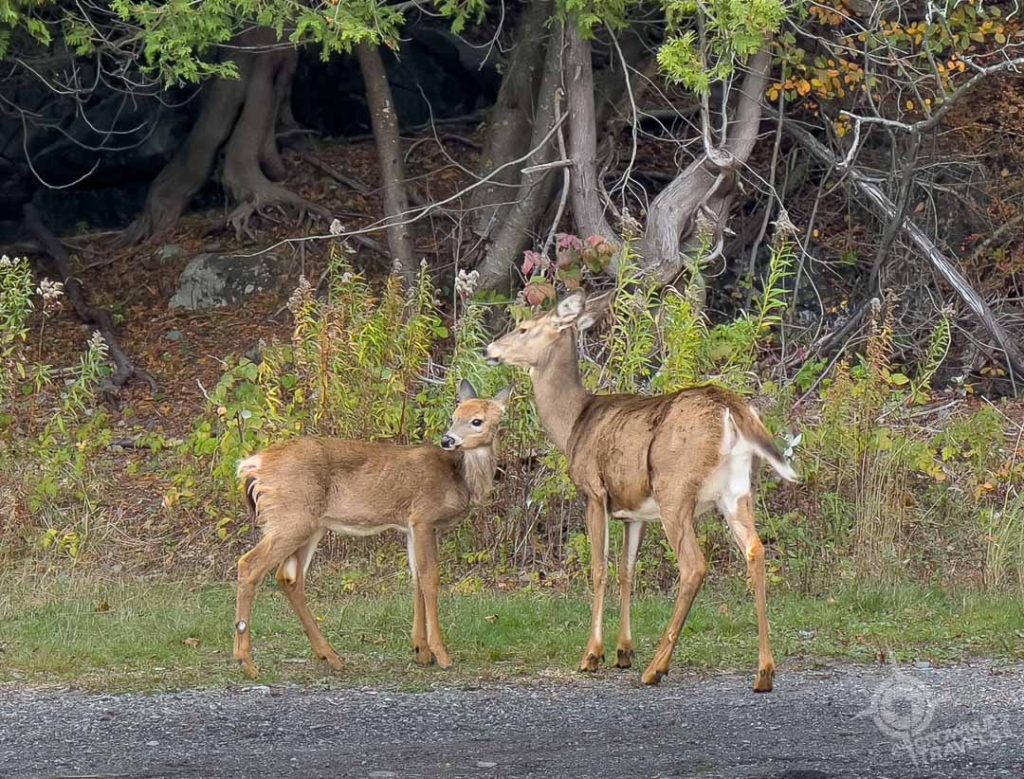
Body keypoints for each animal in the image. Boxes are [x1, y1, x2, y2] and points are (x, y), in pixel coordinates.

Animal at [232, 380, 510, 679]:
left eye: (476, 421)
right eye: (455, 416)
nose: (448, 440)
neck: (459, 478)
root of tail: (253, 466)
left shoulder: (410, 526)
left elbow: (415, 578)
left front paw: (420, 651)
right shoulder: (423, 517)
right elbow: (430, 578)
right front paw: (441, 654)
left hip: (309, 524)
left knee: (289, 577)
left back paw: (331, 656)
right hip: (291, 517)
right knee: (250, 565)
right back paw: (247, 662)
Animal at [485, 290, 797, 692]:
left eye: (523, 328)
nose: (490, 349)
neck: (573, 423)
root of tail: (732, 408)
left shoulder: (594, 492)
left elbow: (599, 569)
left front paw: (592, 655)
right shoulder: (634, 512)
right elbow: (627, 571)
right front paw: (623, 652)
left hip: (674, 490)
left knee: (694, 565)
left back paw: (656, 668)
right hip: (737, 490)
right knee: (756, 551)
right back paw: (764, 672)